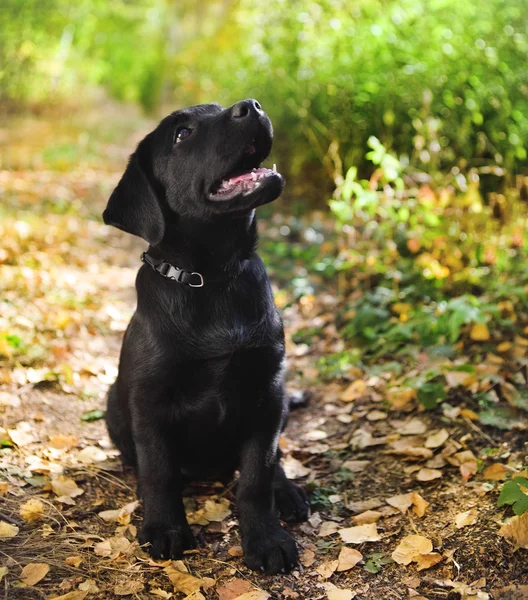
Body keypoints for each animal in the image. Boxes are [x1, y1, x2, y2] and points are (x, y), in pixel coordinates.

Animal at [103, 97, 310, 572]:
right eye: (181, 134)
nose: (252, 105)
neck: (213, 278)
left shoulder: (266, 392)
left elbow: (256, 475)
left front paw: (266, 538)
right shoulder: (149, 401)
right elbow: (158, 472)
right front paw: (164, 528)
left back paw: (288, 492)